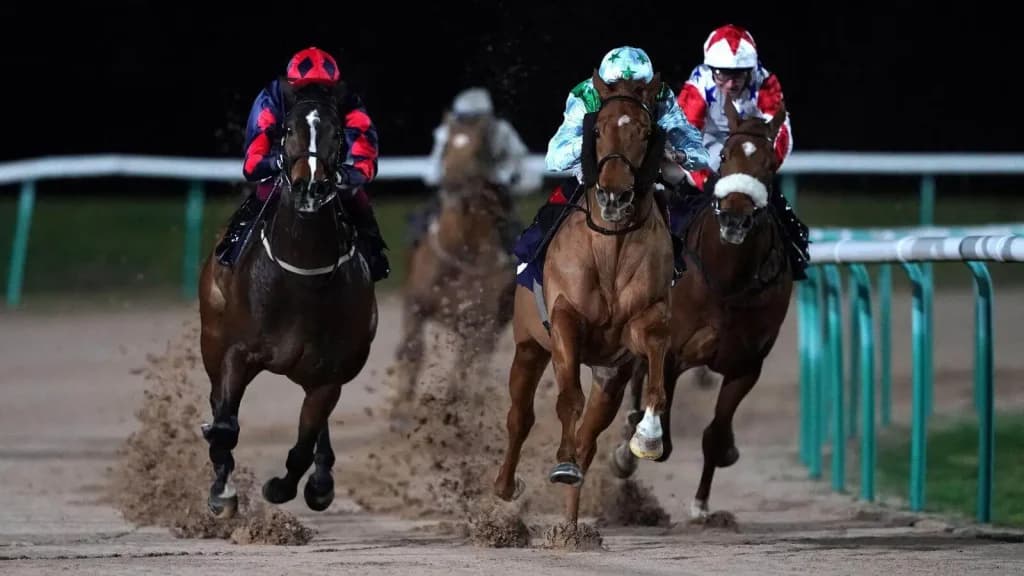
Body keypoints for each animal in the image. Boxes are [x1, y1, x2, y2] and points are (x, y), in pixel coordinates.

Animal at [197, 78, 378, 518]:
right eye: (288, 129)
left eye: (337, 133)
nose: (310, 186)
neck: (301, 277)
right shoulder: (238, 352)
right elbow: (225, 426)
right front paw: (222, 492)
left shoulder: (330, 371)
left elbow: (303, 444)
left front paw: (287, 487)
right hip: (211, 339)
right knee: (218, 401)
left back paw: (321, 480)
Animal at [392, 112, 516, 403]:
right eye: (446, 146)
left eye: (478, 151)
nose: (453, 185)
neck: (462, 251)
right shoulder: (415, 304)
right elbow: (413, 350)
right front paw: (402, 406)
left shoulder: (481, 324)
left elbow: (462, 372)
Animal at [493, 71, 674, 528]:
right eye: (597, 130)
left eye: (645, 131)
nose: (614, 196)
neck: (610, 248)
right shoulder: (564, 322)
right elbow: (567, 398)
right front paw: (562, 461)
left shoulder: (643, 325)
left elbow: (656, 379)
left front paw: (647, 437)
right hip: (527, 347)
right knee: (520, 417)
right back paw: (506, 486)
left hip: (609, 376)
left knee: (590, 438)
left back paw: (572, 525)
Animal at [610, 93, 794, 521]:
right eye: (724, 155)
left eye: (770, 163)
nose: (736, 218)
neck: (728, 281)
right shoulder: (673, 353)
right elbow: (661, 432)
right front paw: (630, 447)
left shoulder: (747, 365)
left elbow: (715, 433)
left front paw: (702, 501)